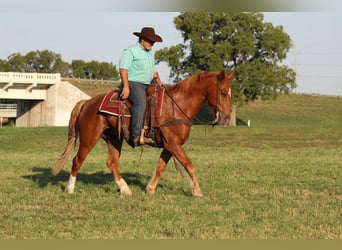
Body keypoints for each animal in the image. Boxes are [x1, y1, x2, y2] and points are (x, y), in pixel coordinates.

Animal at [52, 70, 234, 197]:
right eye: (223, 92)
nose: (226, 118)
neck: (177, 106)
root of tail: (87, 102)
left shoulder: (169, 146)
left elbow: (160, 167)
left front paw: (150, 188)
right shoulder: (173, 144)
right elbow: (189, 164)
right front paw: (197, 191)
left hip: (114, 139)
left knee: (112, 163)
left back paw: (125, 190)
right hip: (89, 138)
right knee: (77, 160)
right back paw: (69, 188)